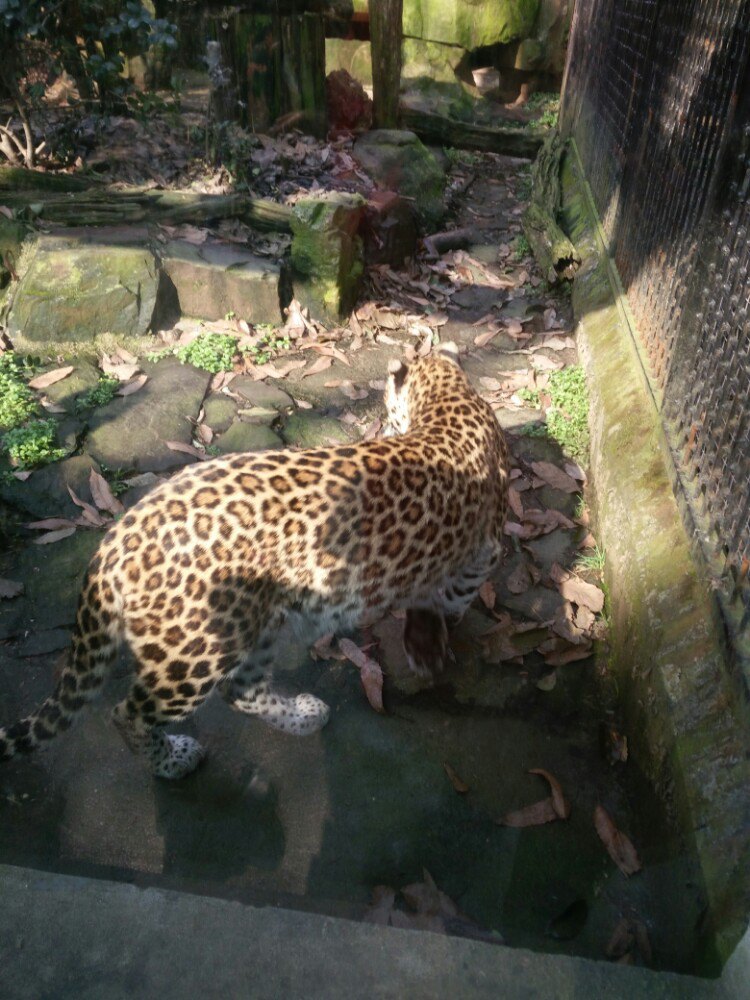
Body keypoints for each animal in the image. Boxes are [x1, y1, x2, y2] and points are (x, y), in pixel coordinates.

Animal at [0, 346, 512, 780]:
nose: (384, 426)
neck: (451, 399)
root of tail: (115, 542)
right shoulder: (483, 551)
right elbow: (448, 598)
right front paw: (434, 639)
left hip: (249, 621)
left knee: (240, 691)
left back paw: (303, 716)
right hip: (193, 652)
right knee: (128, 714)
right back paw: (172, 761)